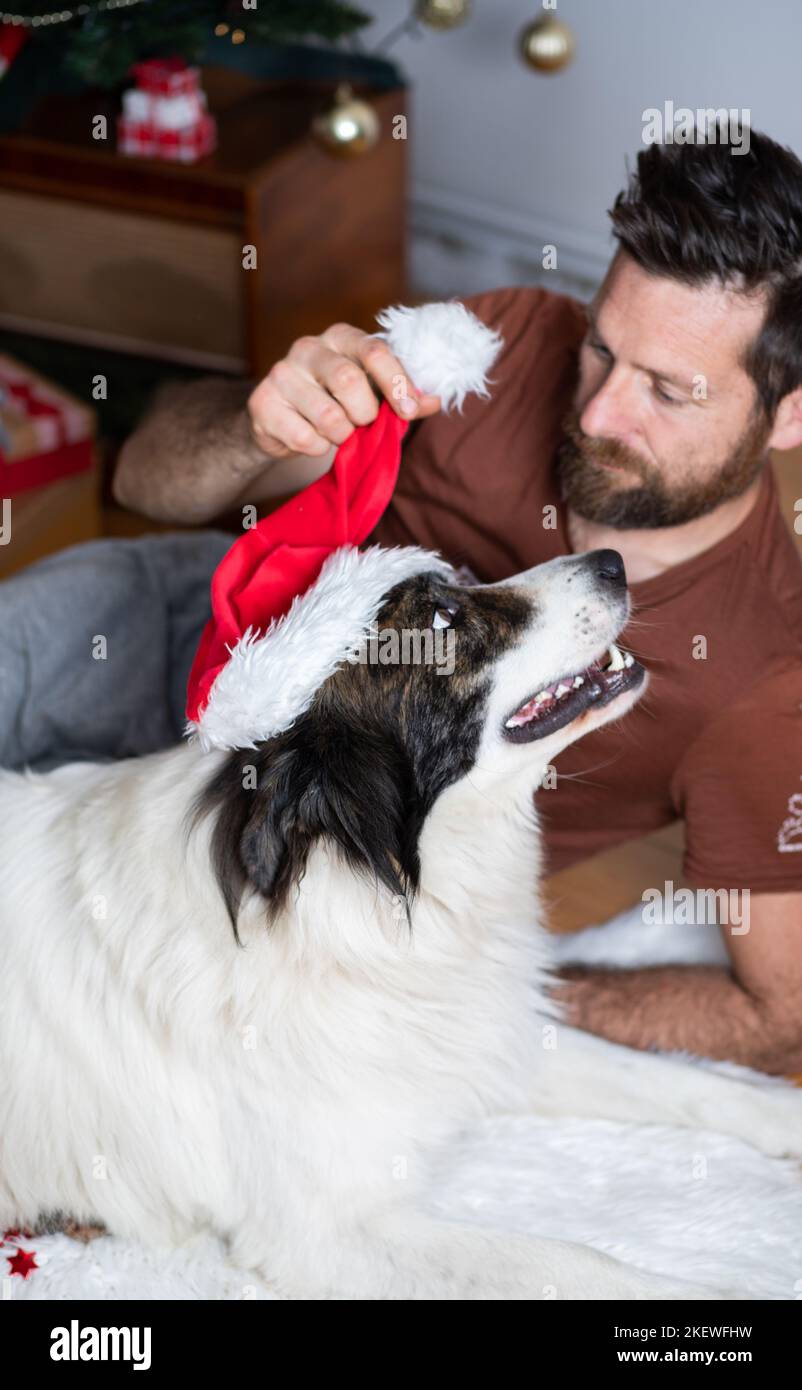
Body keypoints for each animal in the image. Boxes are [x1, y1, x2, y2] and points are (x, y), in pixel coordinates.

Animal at [3, 536, 795, 1295]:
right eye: (441, 620)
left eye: (462, 578)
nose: (613, 561)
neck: (366, 890)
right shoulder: (327, 1232)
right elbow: (576, 1262)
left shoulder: (479, 1036)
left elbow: (682, 1080)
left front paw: (784, 1119)